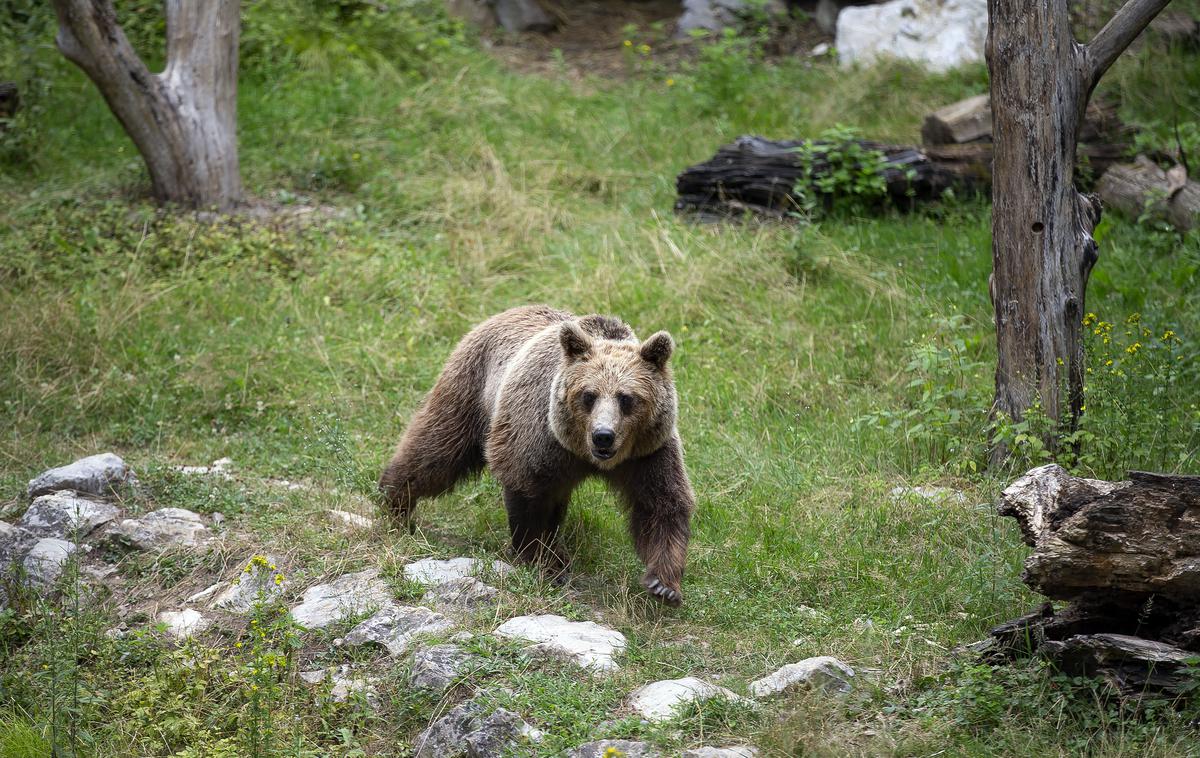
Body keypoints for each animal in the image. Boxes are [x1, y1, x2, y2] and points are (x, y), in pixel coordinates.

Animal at [374, 304, 696, 606]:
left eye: (627, 398)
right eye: (588, 395)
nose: (603, 435)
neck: (583, 453)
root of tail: (503, 313)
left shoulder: (647, 452)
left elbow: (661, 505)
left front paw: (664, 584)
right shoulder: (539, 438)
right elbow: (527, 494)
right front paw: (541, 560)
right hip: (470, 388)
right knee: (437, 451)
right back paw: (394, 500)